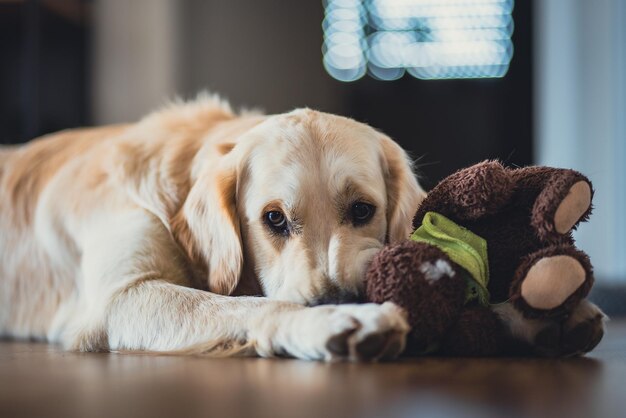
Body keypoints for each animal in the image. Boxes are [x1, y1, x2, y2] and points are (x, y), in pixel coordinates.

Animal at [0, 94, 604, 360]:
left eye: (361, 210)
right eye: (273, 218)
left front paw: (530, 311)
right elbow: (246, 304)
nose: (338, 295)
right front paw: (336, 319)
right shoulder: (119, 297)